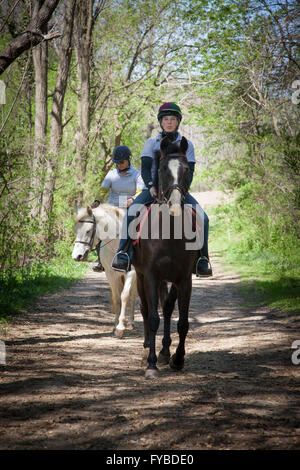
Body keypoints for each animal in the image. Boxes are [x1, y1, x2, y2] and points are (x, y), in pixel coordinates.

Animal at [72, 204, 138, 336]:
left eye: (88, 231)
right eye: (75, 231)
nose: (77, 256)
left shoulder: (131, 272)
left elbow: (125, 296)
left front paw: (121, 327)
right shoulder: (110, 274)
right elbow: (117, 298)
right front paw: (115, 325)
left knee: (133, 294)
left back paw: (131, 322)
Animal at [132, 135, 200, 378]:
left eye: (186, 169)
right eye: (162, 168)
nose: (174, 205)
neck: (169, 232)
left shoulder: (184, 279)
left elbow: (183, 322)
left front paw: (177, 359)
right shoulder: (151, 276)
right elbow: (153, 318)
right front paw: (151, 365)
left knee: (168, 308)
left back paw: (164, 350)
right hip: (140, 276)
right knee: (145, 309)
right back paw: (147, 350)